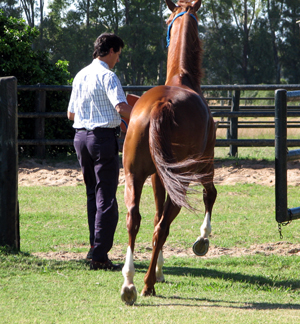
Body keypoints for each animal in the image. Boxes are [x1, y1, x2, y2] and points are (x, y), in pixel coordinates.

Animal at [120, 0, 217, 306]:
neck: (181, 79)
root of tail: (162, 105)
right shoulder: (206, 164)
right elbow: (210, 195)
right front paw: (202, 240)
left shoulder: (157, 178)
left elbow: (153, 218)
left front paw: (160, 267)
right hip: (183, 179)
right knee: (164, 224)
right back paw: (147, 283)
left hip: (134, 176)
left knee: (135, 219)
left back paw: (129, 284)